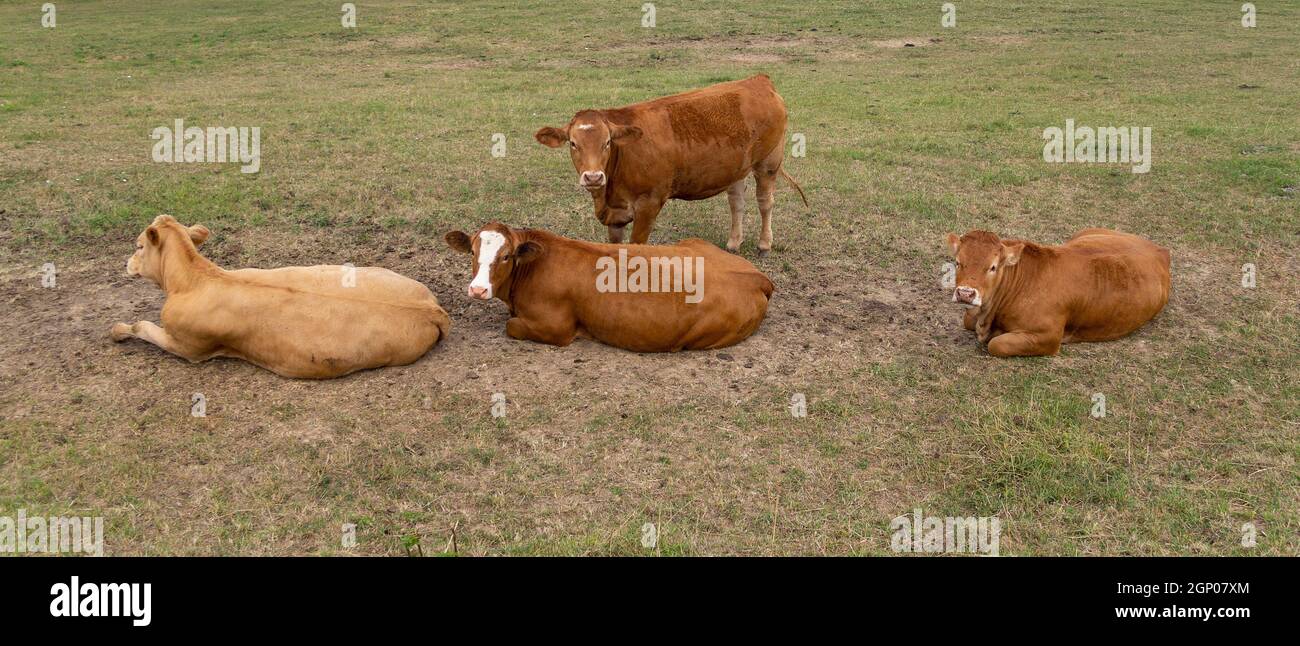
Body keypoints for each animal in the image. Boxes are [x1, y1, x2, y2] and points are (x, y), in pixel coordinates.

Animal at [111, 215, 450, 378]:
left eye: (139, 245)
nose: (126, 263)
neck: (194, 280)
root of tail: (430, 308)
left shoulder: (186, 346)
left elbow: (142, 326)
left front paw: (118, 330)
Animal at [444, 223, 774, 352]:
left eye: (506, 256)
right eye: (472, 252)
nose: (477, 289)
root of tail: (756, 276)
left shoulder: (556, 328)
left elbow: (511, 326)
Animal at [534, 74, 806, 256]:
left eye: (607, 142)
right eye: (573, 143)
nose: (593, 177)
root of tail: (758, 80)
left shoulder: (649, 203)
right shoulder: (615, 216)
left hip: (768, 161)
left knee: (765, 202)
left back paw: (764, 244)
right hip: (737, 167)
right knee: (737, 202)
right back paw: (733, 243)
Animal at [944, 228, 1170, 357]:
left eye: (992, 267)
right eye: (958, 262)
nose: (966, 293)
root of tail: (1160, 250)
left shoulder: (1049, 337)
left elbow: (997, 344)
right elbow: (967, 319)